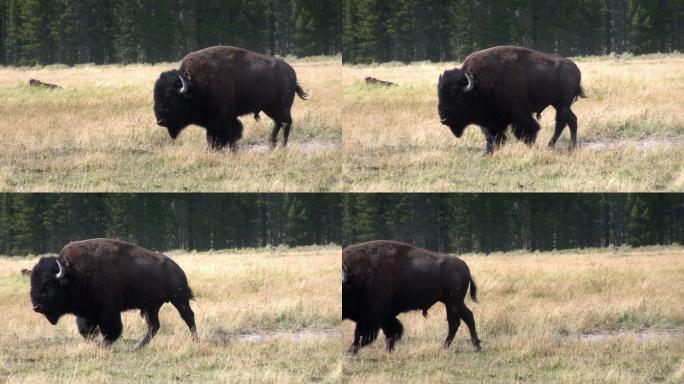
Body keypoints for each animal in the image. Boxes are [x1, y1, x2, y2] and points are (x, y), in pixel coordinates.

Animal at [32, 237, 198, 348]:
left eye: (48, 284)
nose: (37, 307)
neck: (74, 273)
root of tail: (177, 268)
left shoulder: (108, 310)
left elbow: (112, 329)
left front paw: (103, 344)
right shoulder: (87, 312)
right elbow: (86, 329)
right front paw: (95, 342)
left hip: (179, 299)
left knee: (188, 317)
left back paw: (195, 341)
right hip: (152, 306)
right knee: (154, 325)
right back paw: (137, 347)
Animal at [154, 45, 308, 151]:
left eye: (170, 98)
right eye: (156, 97)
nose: (160, 121)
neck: (196, 85)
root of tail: (290, 71)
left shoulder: (223, 118)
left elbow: (228, 134)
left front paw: (227, 150)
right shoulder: (214, 120)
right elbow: (217, 136)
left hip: (283, 106)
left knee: (286, 122)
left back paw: (282, 146)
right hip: (269, 107)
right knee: (278, 122)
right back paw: (271, 145)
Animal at [342, 240, 480, 354]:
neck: (354, 278)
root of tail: (464, 265)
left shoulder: (372, 315)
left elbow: (362, 334)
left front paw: (350, 351)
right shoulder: (385, 316)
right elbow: (392, 331)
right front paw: (389, 350)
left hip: (454, 302)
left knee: (461, 319)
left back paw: (469, 347)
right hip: (450, 302)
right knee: (460, 320)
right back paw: (452, 346)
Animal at [436, 45, 584, 152]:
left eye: (456, 95)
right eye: (439, 94)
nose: (444, 120)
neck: (479, 84)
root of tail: (576, 68)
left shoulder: (519, 114)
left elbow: (527, 131)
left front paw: (532, 147)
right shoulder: (490, 121)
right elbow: (492, 136)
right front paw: (487, 152)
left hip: (562, 104)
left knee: (562, 122)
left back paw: (555, 145)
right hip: (559, 104)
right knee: (571, 120)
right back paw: (567, 146)